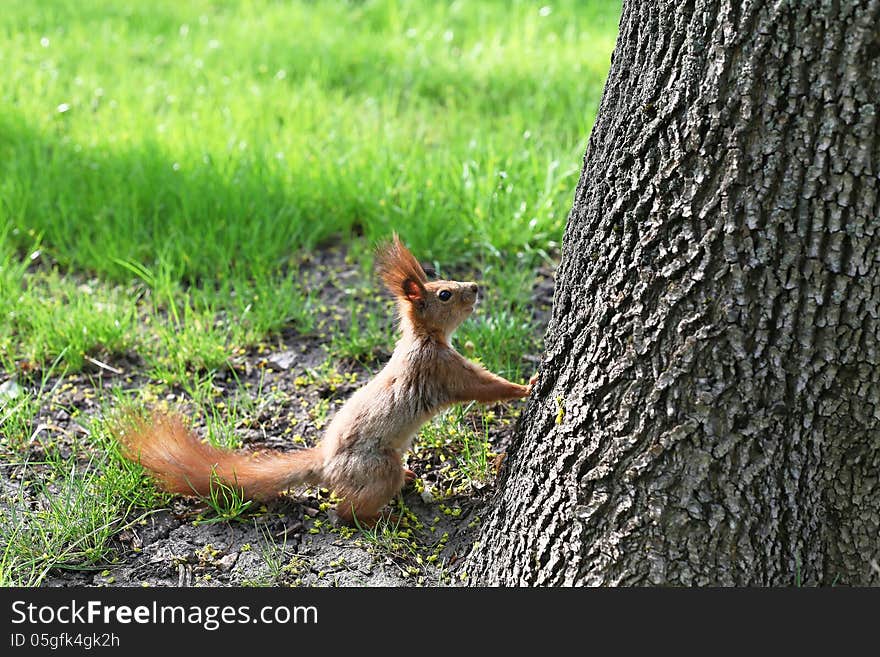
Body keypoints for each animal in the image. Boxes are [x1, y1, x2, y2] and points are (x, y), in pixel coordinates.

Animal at [115, 233, 528, 524]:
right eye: (444, 294)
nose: (474, 288)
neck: (422, 338)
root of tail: (325, 464)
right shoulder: (440, 368)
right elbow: (482, 386)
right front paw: (527, 385)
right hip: (377, 469)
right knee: (345, 512)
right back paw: (380, 518)